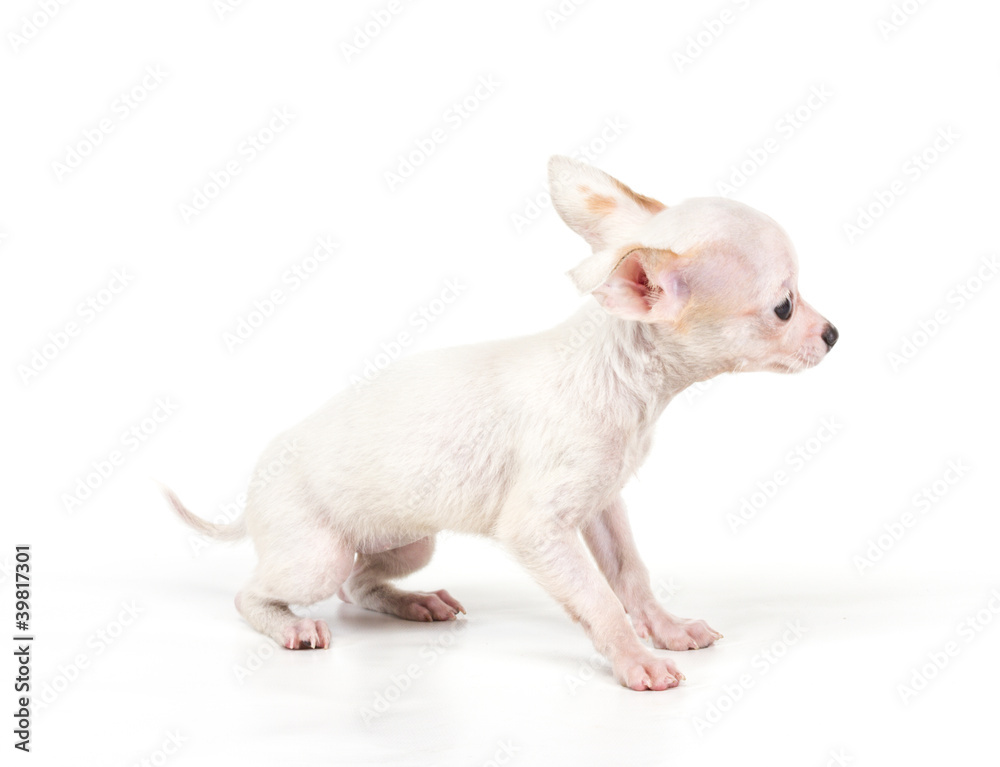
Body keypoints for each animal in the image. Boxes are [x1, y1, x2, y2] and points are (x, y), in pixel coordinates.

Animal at [164, 154, 836, 688]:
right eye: (784, 306)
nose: (833, 333)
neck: (626, 386)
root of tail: (250, 497)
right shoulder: (538, 530)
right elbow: (599, 599)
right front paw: (634, 660)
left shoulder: (602, 505)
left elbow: (630, 575)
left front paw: (666, 628)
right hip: (312, 555)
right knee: (255, 593)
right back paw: (290, 628)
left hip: (409, 540)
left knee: (358, 584)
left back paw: (416, 603)